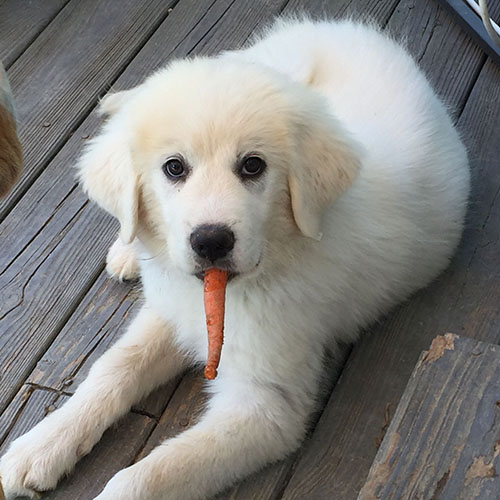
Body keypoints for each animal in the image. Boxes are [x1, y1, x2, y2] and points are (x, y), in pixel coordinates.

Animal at [0, 18, 470, 500]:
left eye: (253, 166)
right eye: (174, 168)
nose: (211, 242)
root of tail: (347, 26)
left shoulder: (266, 405)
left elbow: (147, 474)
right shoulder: (171, 311)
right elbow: (114, 367)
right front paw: (41, 445)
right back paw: (126, 250)